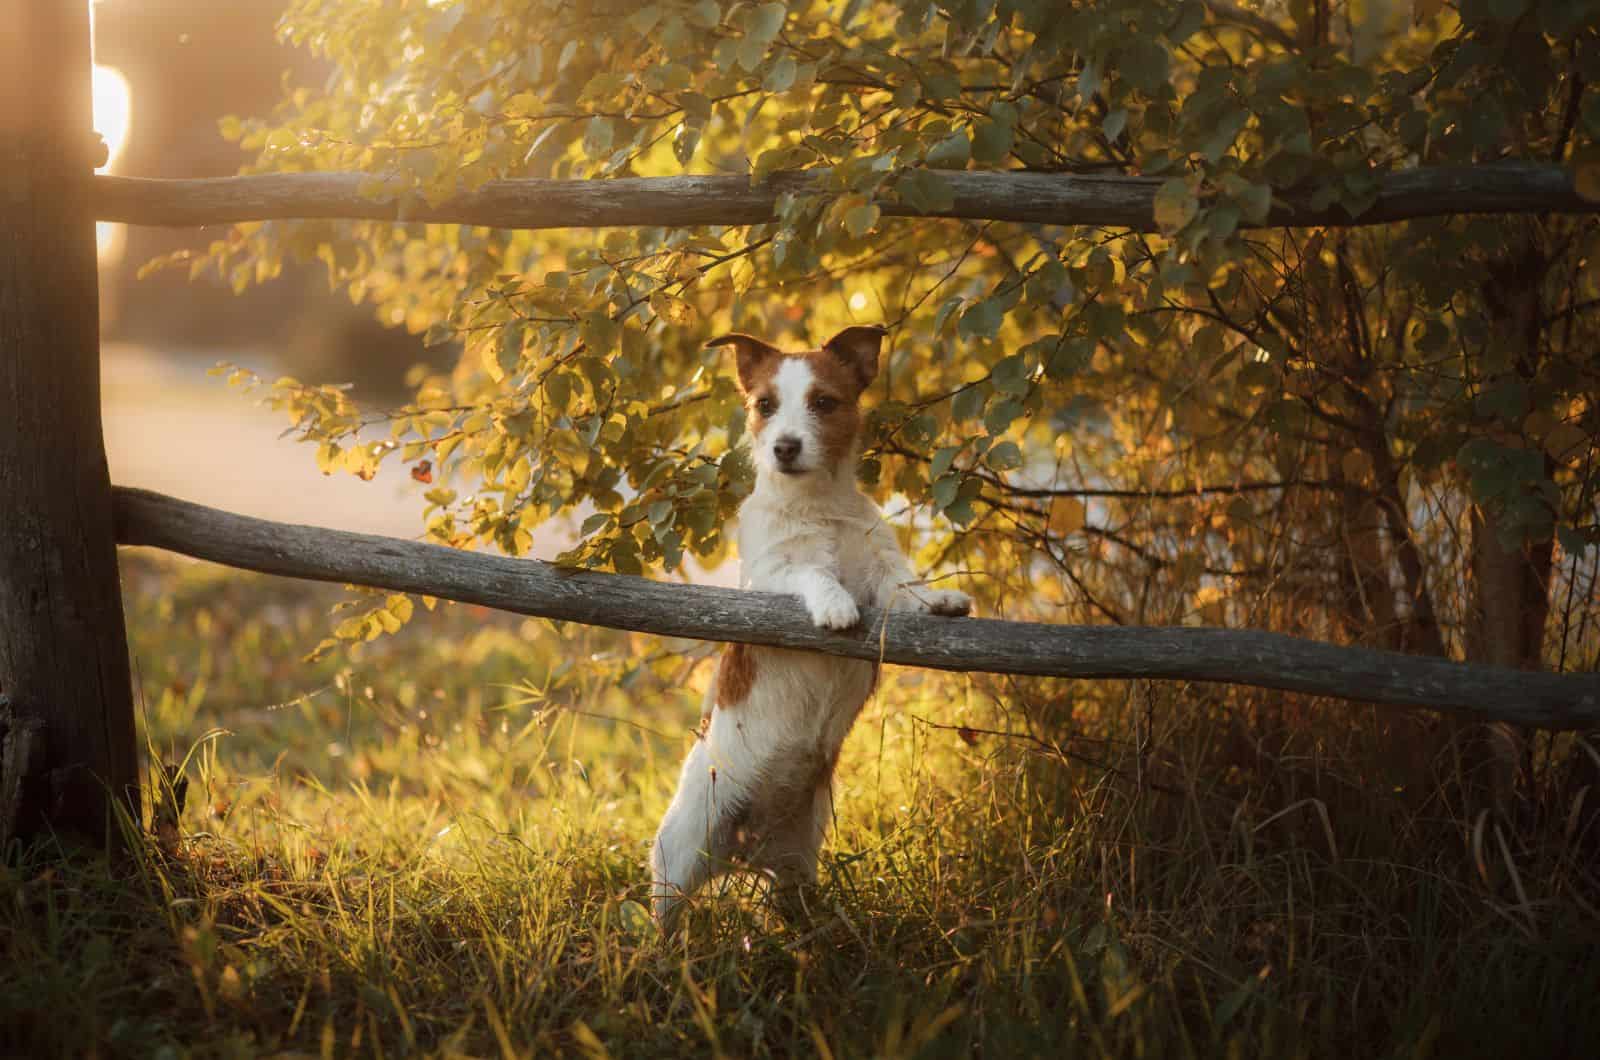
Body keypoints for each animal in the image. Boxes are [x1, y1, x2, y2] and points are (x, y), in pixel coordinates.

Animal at [649, 323, 972, 928]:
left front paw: (939, 599)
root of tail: (744, 847)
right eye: (765, 406)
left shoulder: (884, 575)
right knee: (664, 914)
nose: (785, 447)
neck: (817, 506)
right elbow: (811, 572)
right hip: (678, 856)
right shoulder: (768, 582)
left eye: (824, 403)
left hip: (797, 864)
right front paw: (834, 604)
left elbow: (906, 587)